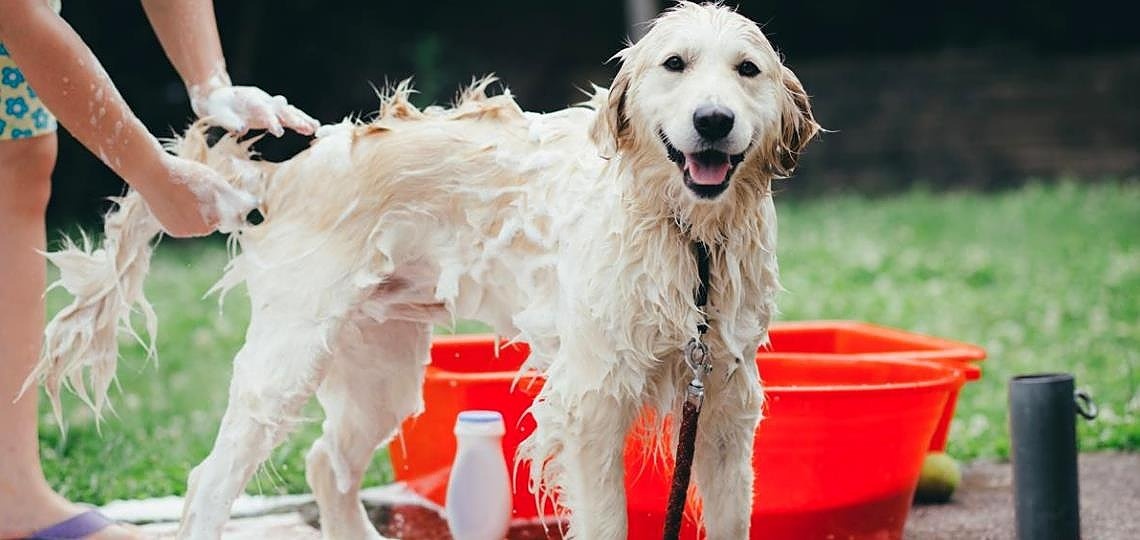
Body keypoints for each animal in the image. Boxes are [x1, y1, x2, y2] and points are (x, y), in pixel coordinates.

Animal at [31, 2, 816, 537]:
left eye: (747, 71)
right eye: (674, 65)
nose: (713, 120)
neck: (688, 240)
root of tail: (290, 171)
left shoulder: (724, 406)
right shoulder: (591, 403)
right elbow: (606, 520)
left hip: (379, 373)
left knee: (325, 464)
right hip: (285, 364)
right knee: (208, 484)